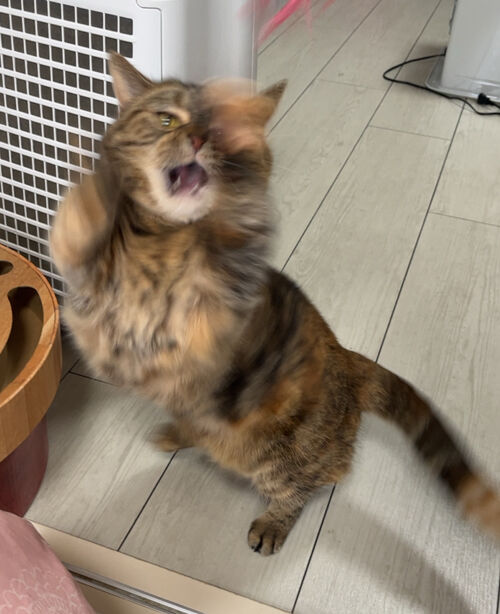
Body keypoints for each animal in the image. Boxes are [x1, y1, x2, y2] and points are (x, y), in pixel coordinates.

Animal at [51, 52, 500, 556]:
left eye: (224, 129)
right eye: (167, 119)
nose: (199, 137)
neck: (162, 243)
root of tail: (348, 358)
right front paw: (94, 185)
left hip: (283, 453)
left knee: (316, 479)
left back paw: (273, 520)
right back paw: (179, 431)